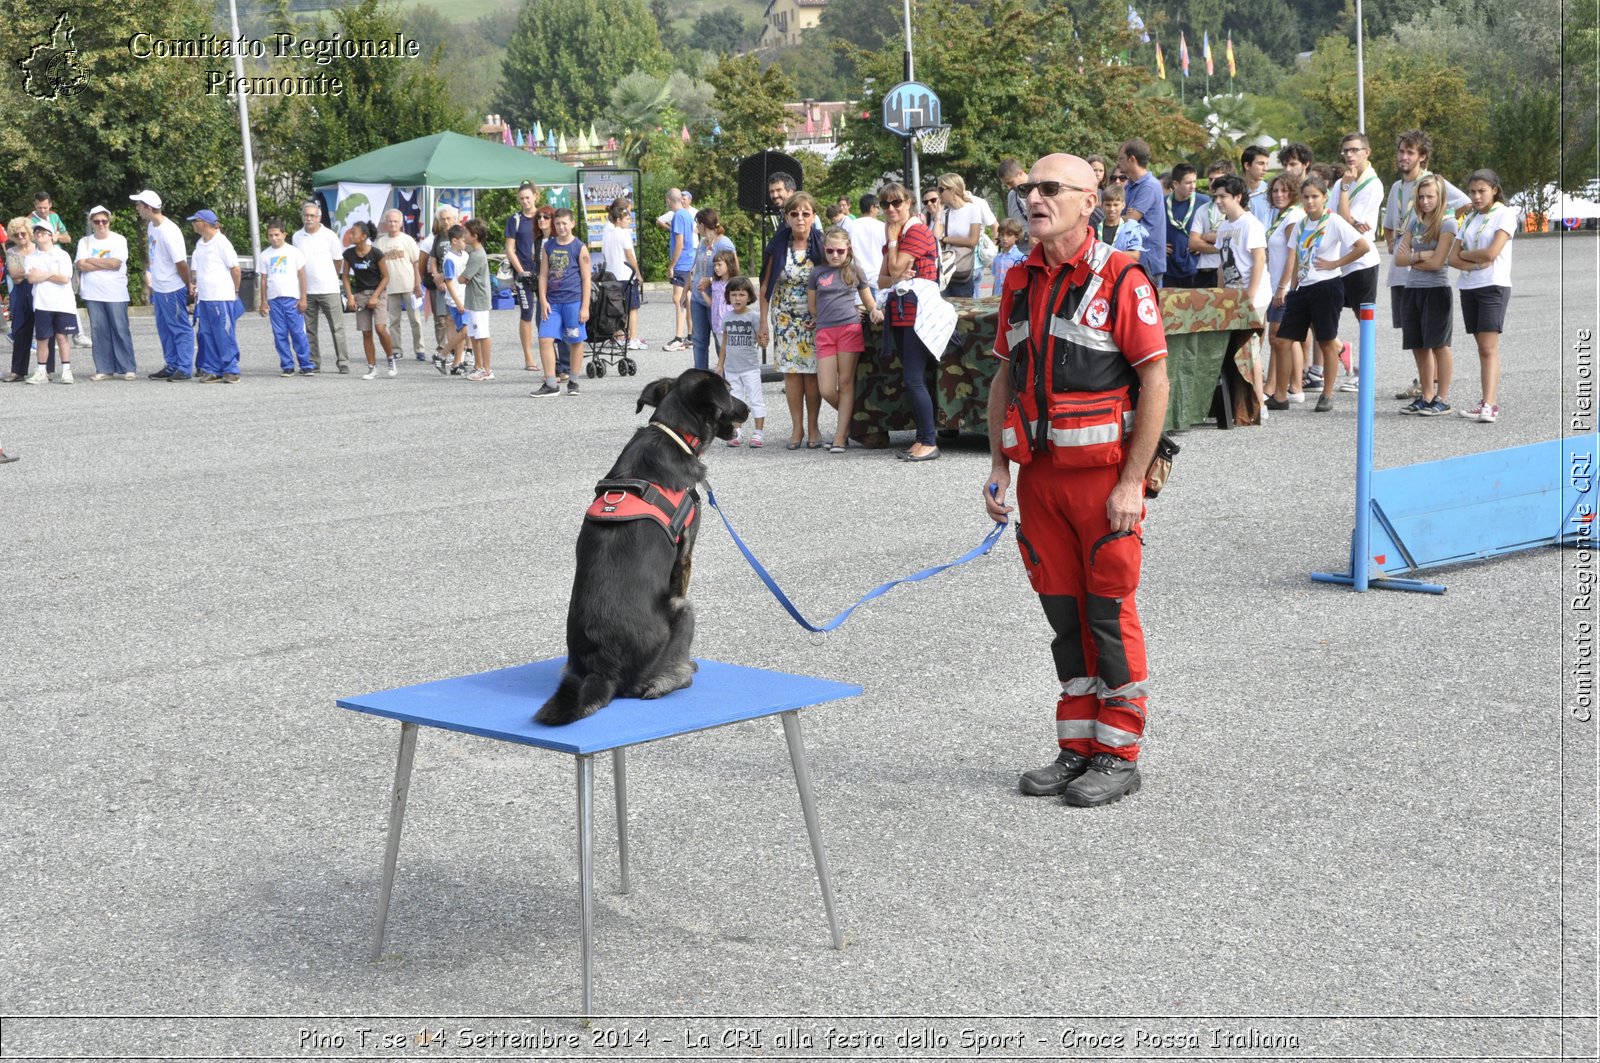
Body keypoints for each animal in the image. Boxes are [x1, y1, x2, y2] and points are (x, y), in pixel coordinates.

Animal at [537, 369, 748, 726]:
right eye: (730, 391)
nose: (747, 410)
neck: (673, 432)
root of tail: (603, 669)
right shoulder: (685, 555)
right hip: (683, 608)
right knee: (648, 688)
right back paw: (679, 674)